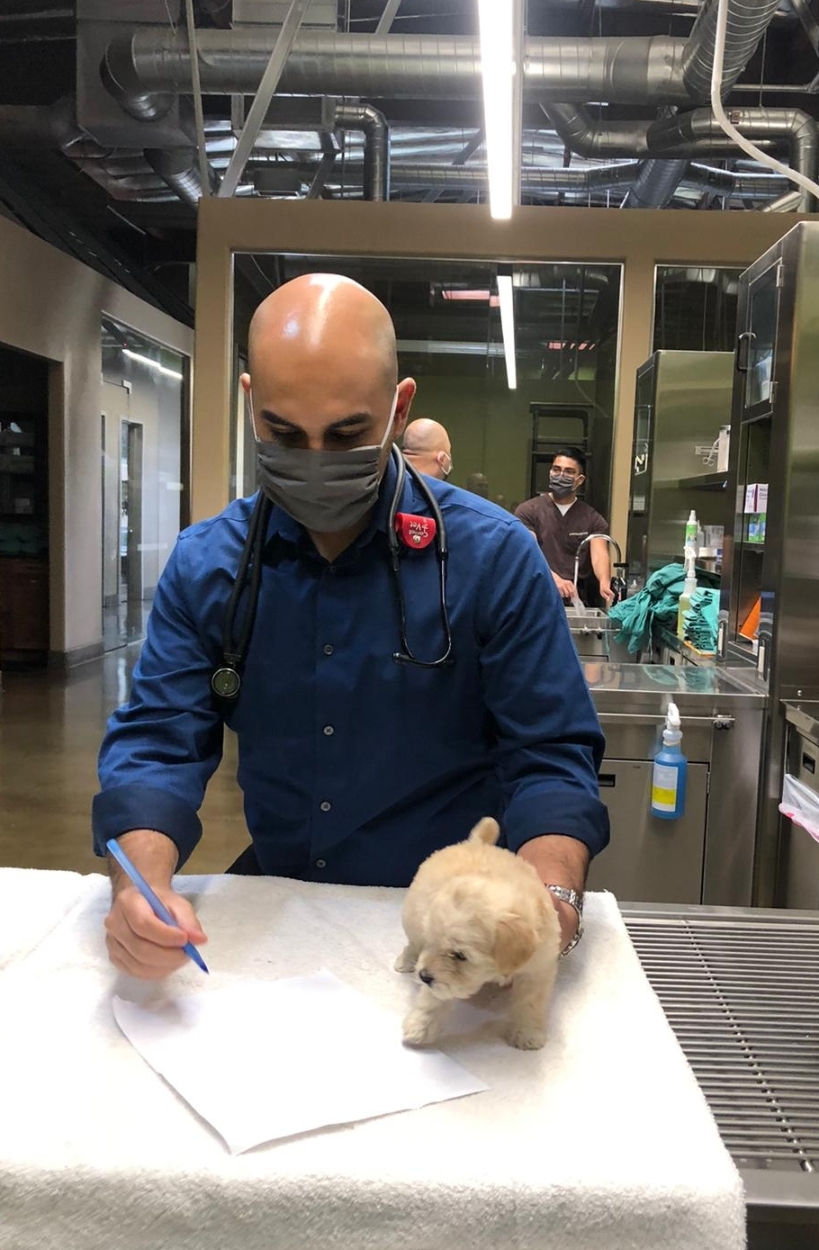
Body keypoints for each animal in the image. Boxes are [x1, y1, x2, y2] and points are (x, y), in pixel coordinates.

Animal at [397, 815, 565, 1050]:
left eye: (460, 955)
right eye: (432, 943)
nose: (424, 976)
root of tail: (475, 842)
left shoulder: (539, 968)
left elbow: (530, 1002)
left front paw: (527, 1034)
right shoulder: (441, 977)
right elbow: (433, 1000)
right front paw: (419, 1027)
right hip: (412, 917)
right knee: (412, 943)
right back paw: (405, 961)